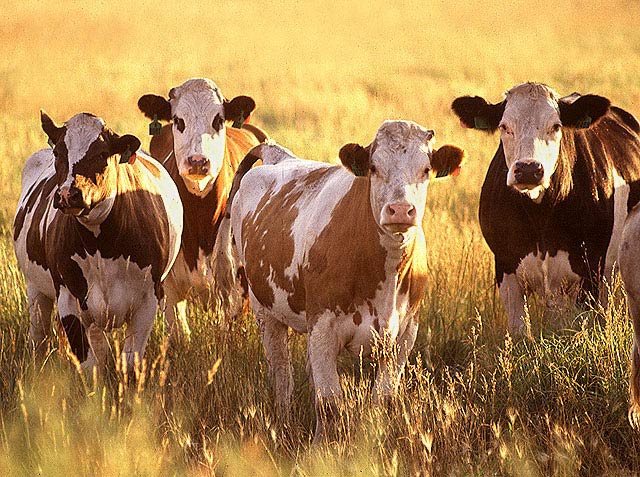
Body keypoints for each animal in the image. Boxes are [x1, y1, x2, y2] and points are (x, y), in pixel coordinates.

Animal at [13, 112, 183, 371]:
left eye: (102, 153)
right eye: (58, 152)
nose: (68, 194)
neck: (101, 246)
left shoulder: (148, 301)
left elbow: (130, 363)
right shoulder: (69, 300)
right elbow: (90, 365)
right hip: (36, 290)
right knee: (39, 337)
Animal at [220, 121, 465, 440]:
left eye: (425, 169)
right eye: (374, 167)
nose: (400, 210)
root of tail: (279, 156)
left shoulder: (404, 336)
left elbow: (382, 399)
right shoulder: (323, 327)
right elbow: (329, 404)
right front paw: (321, 447)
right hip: (266, 311)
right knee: (281, 374)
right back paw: (283, 422)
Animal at [451, 82, 640, 336]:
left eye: (556, 126)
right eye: (504, 126)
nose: (529, 169)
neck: (539, 215)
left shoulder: (590, 270)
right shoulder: (505, 268)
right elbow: (520, 333)